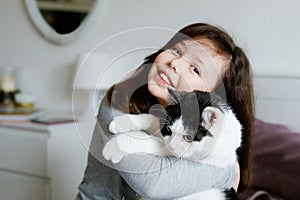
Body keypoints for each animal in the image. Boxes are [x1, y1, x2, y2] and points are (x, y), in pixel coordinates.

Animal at [103, 89, 241, 200]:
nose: (171, 146)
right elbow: (150, 118)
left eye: (188, 137)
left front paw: (114, 147)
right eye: (169, 130)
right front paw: (121, 122)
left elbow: (148, 140)